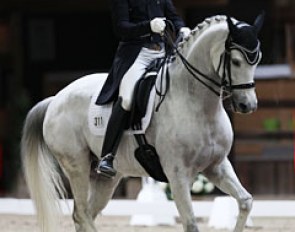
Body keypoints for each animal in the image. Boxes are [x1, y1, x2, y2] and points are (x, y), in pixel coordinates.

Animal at [22, 14, 264, 232]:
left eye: (257, 60)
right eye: (236, 61)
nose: (247, 105)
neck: (196, 103)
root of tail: (56, 99)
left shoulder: (216, 166)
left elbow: (246, 201)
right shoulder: (177, 174)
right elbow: (191, 224)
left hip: (105, 178)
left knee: (85, 214)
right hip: (76, 165)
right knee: (81, 214)